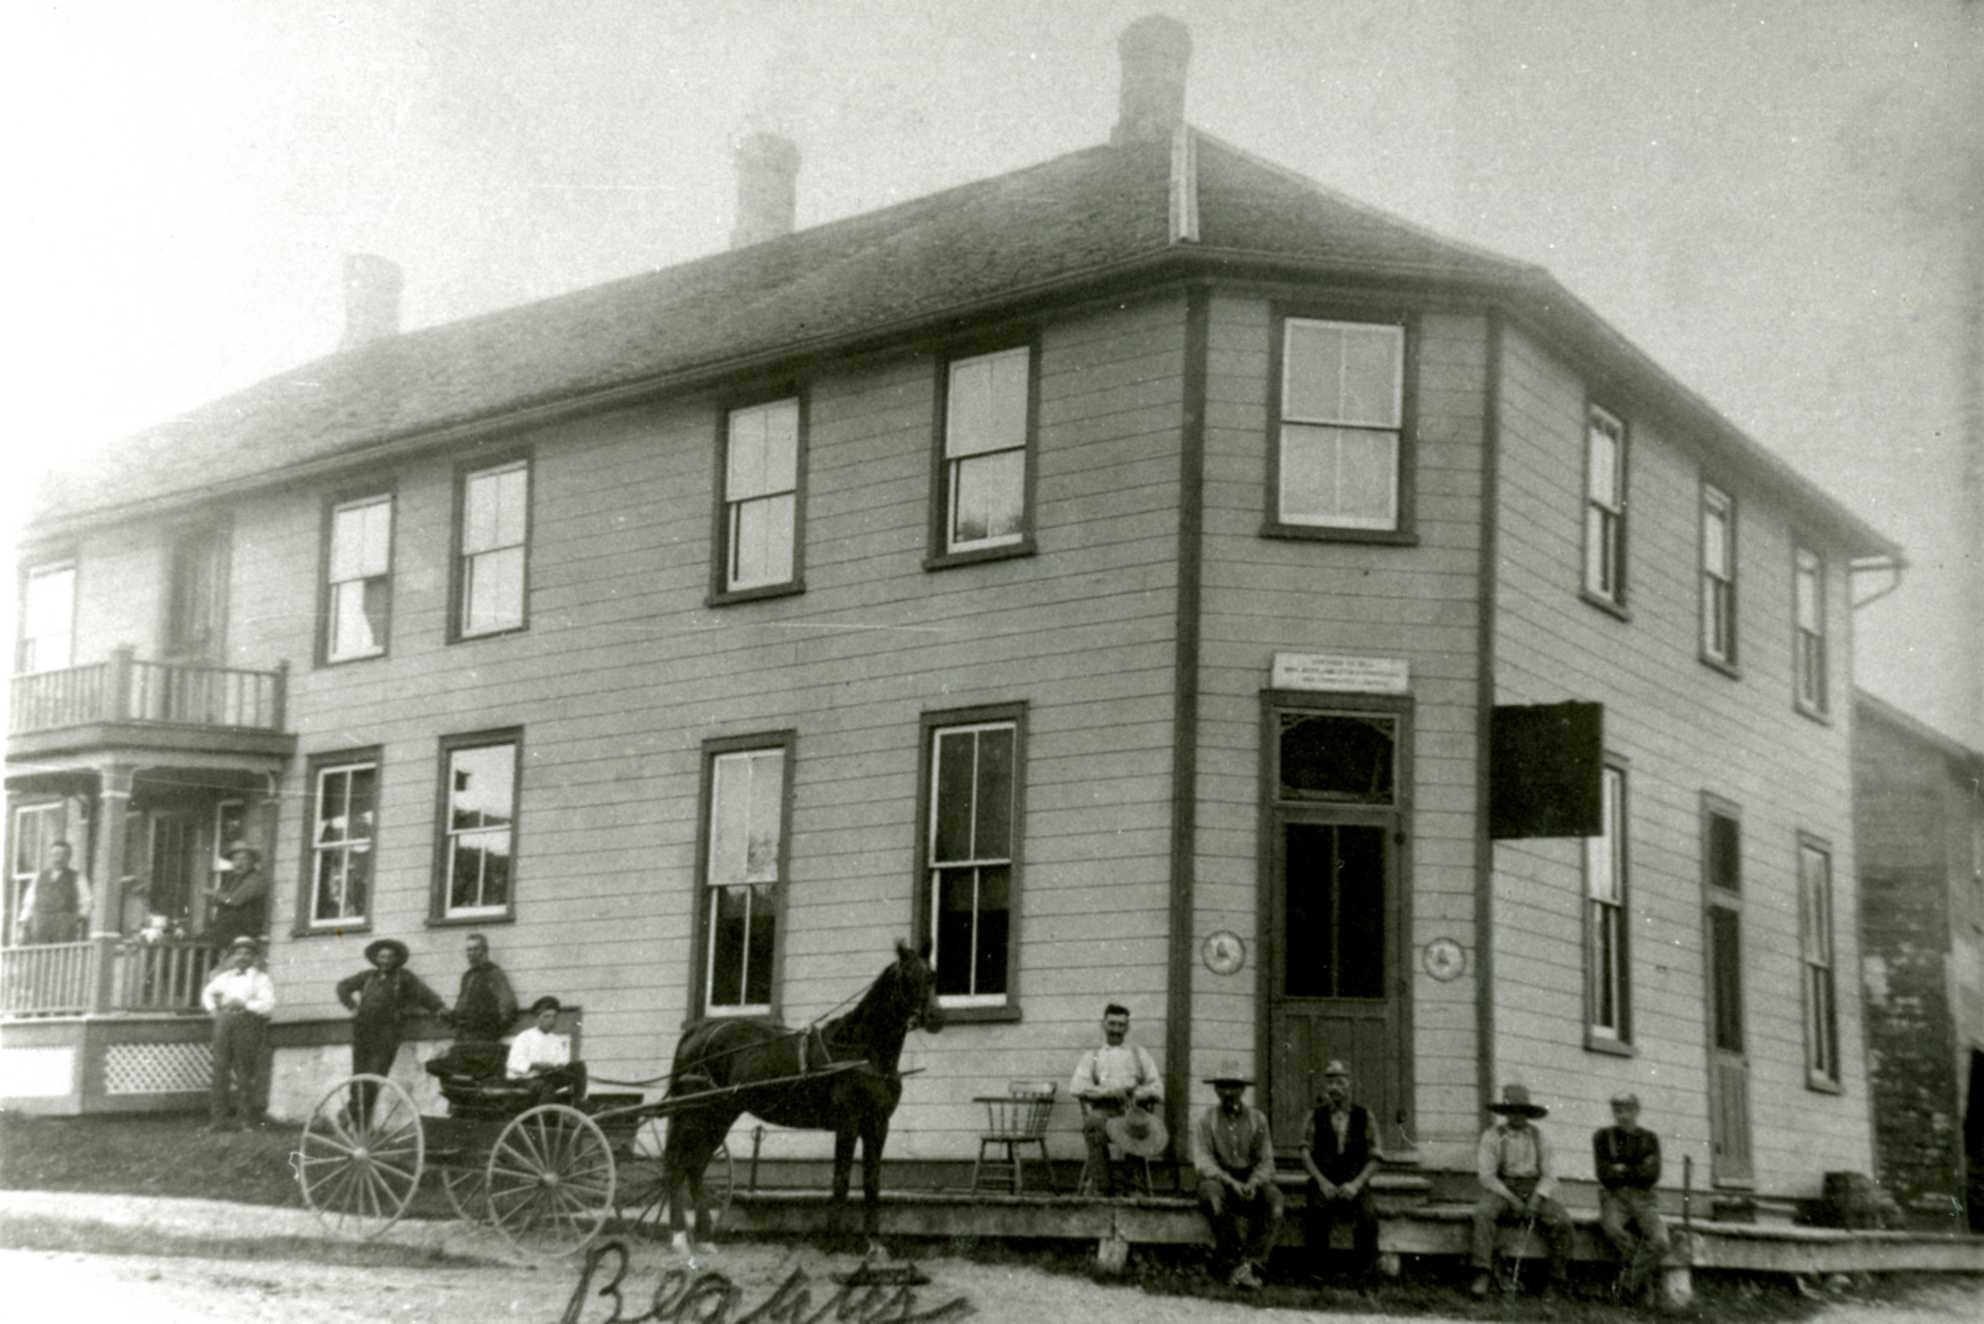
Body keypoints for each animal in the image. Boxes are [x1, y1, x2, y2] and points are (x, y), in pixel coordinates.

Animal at [658, 936, 944, 1262]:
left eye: (932, 975)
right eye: (906, 977)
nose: (936, 1018)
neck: (860, 1051)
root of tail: (696, 1032)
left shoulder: (878, 1125)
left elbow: (872, 1182)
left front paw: (875, 1244)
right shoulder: (848, 1123)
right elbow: (841, 1180)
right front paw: (831, 1243)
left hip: (719, 1115)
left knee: (695, 1167)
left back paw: (704, 1238)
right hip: (695, 1114)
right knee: (678, 1166)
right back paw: (680, 1237)